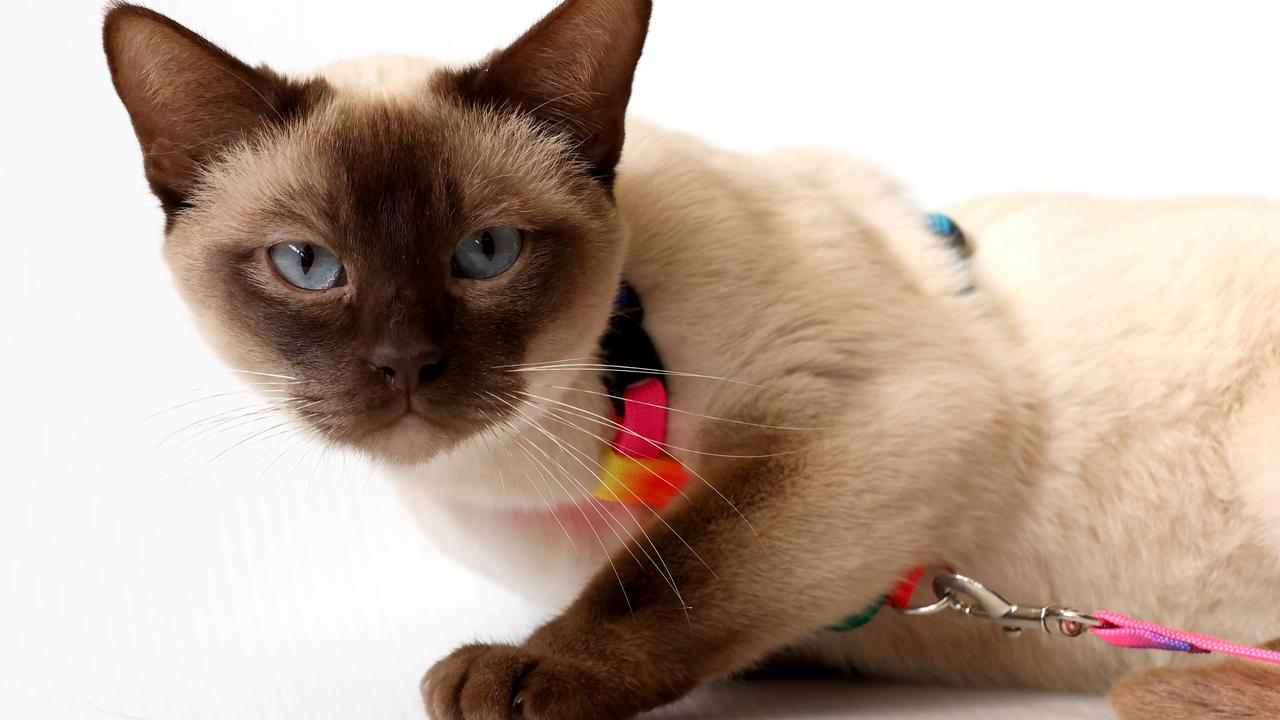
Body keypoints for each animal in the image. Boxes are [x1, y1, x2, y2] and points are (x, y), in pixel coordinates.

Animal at [102, 1, 1280, 717]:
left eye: (486, 252)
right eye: (308, 265)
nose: (405, 367)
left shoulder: (888, 414)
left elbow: (676, 577)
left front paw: (526, 674)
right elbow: (700, 588)